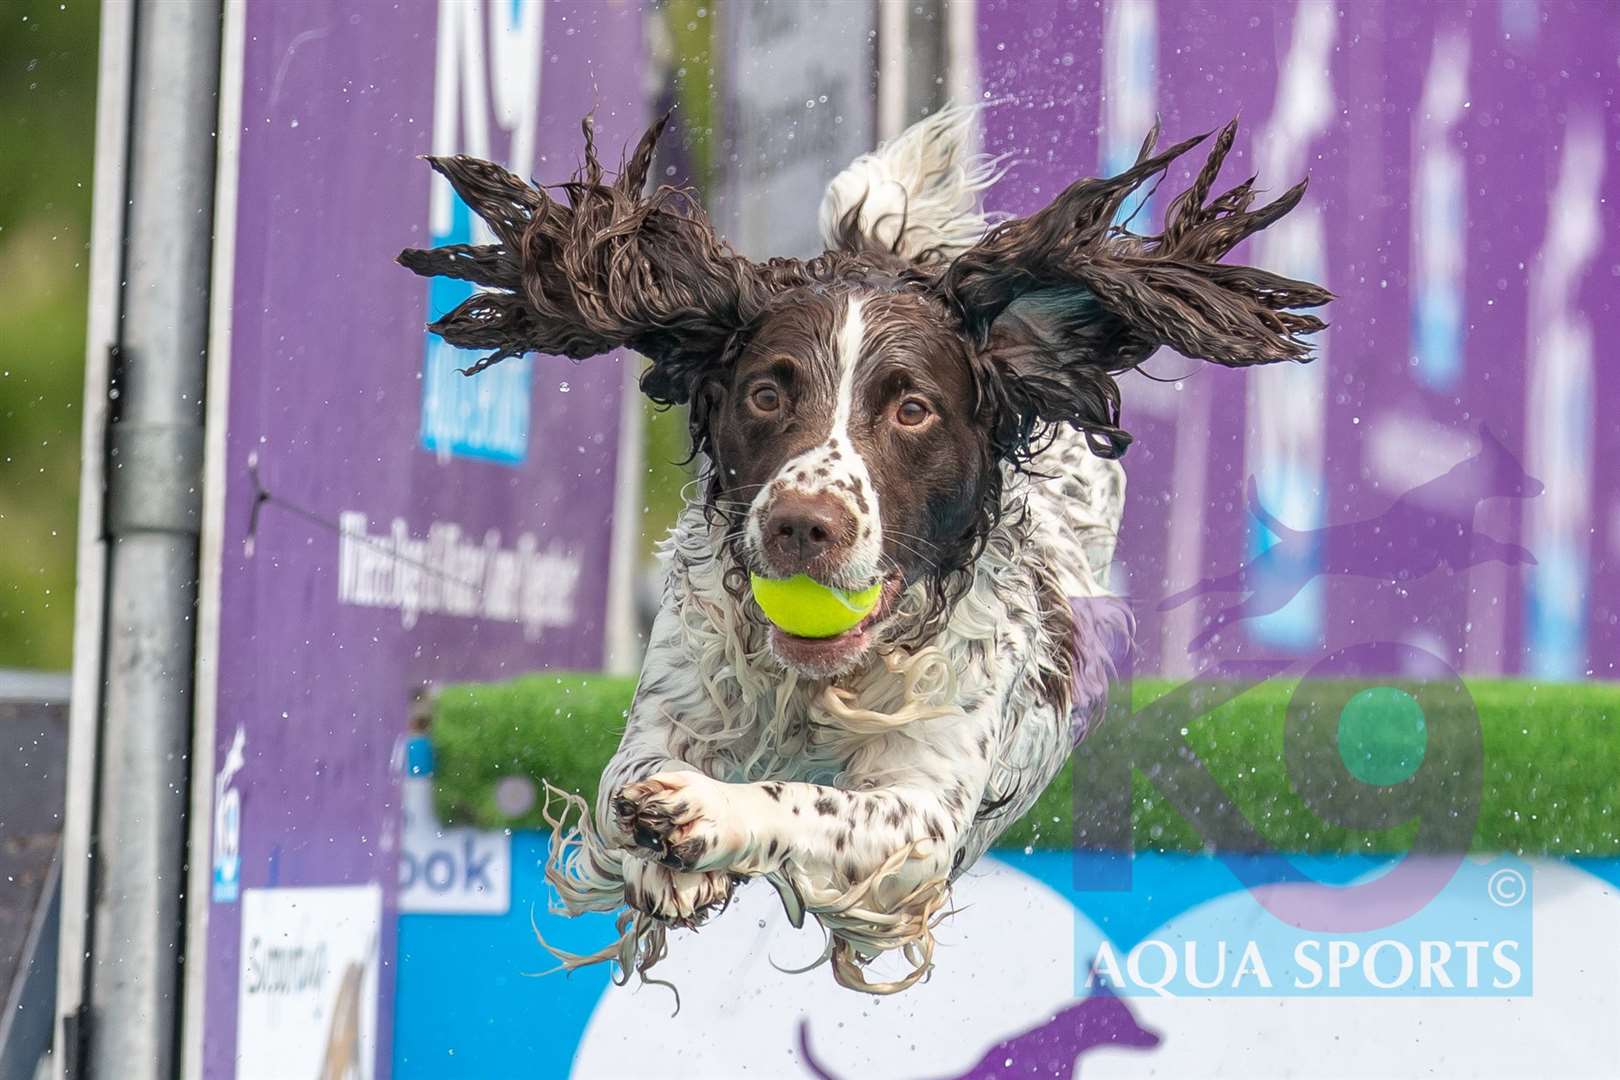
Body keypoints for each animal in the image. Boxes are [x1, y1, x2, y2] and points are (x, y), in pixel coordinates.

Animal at [398, 105, 1321, 990]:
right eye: (767, 393)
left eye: (912, 409)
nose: (803, 524)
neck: (819, 683)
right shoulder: (672, 700)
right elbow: (630, 774)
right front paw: (663, 860)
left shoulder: (923, 811)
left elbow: (805, 801)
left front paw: (708, 813)